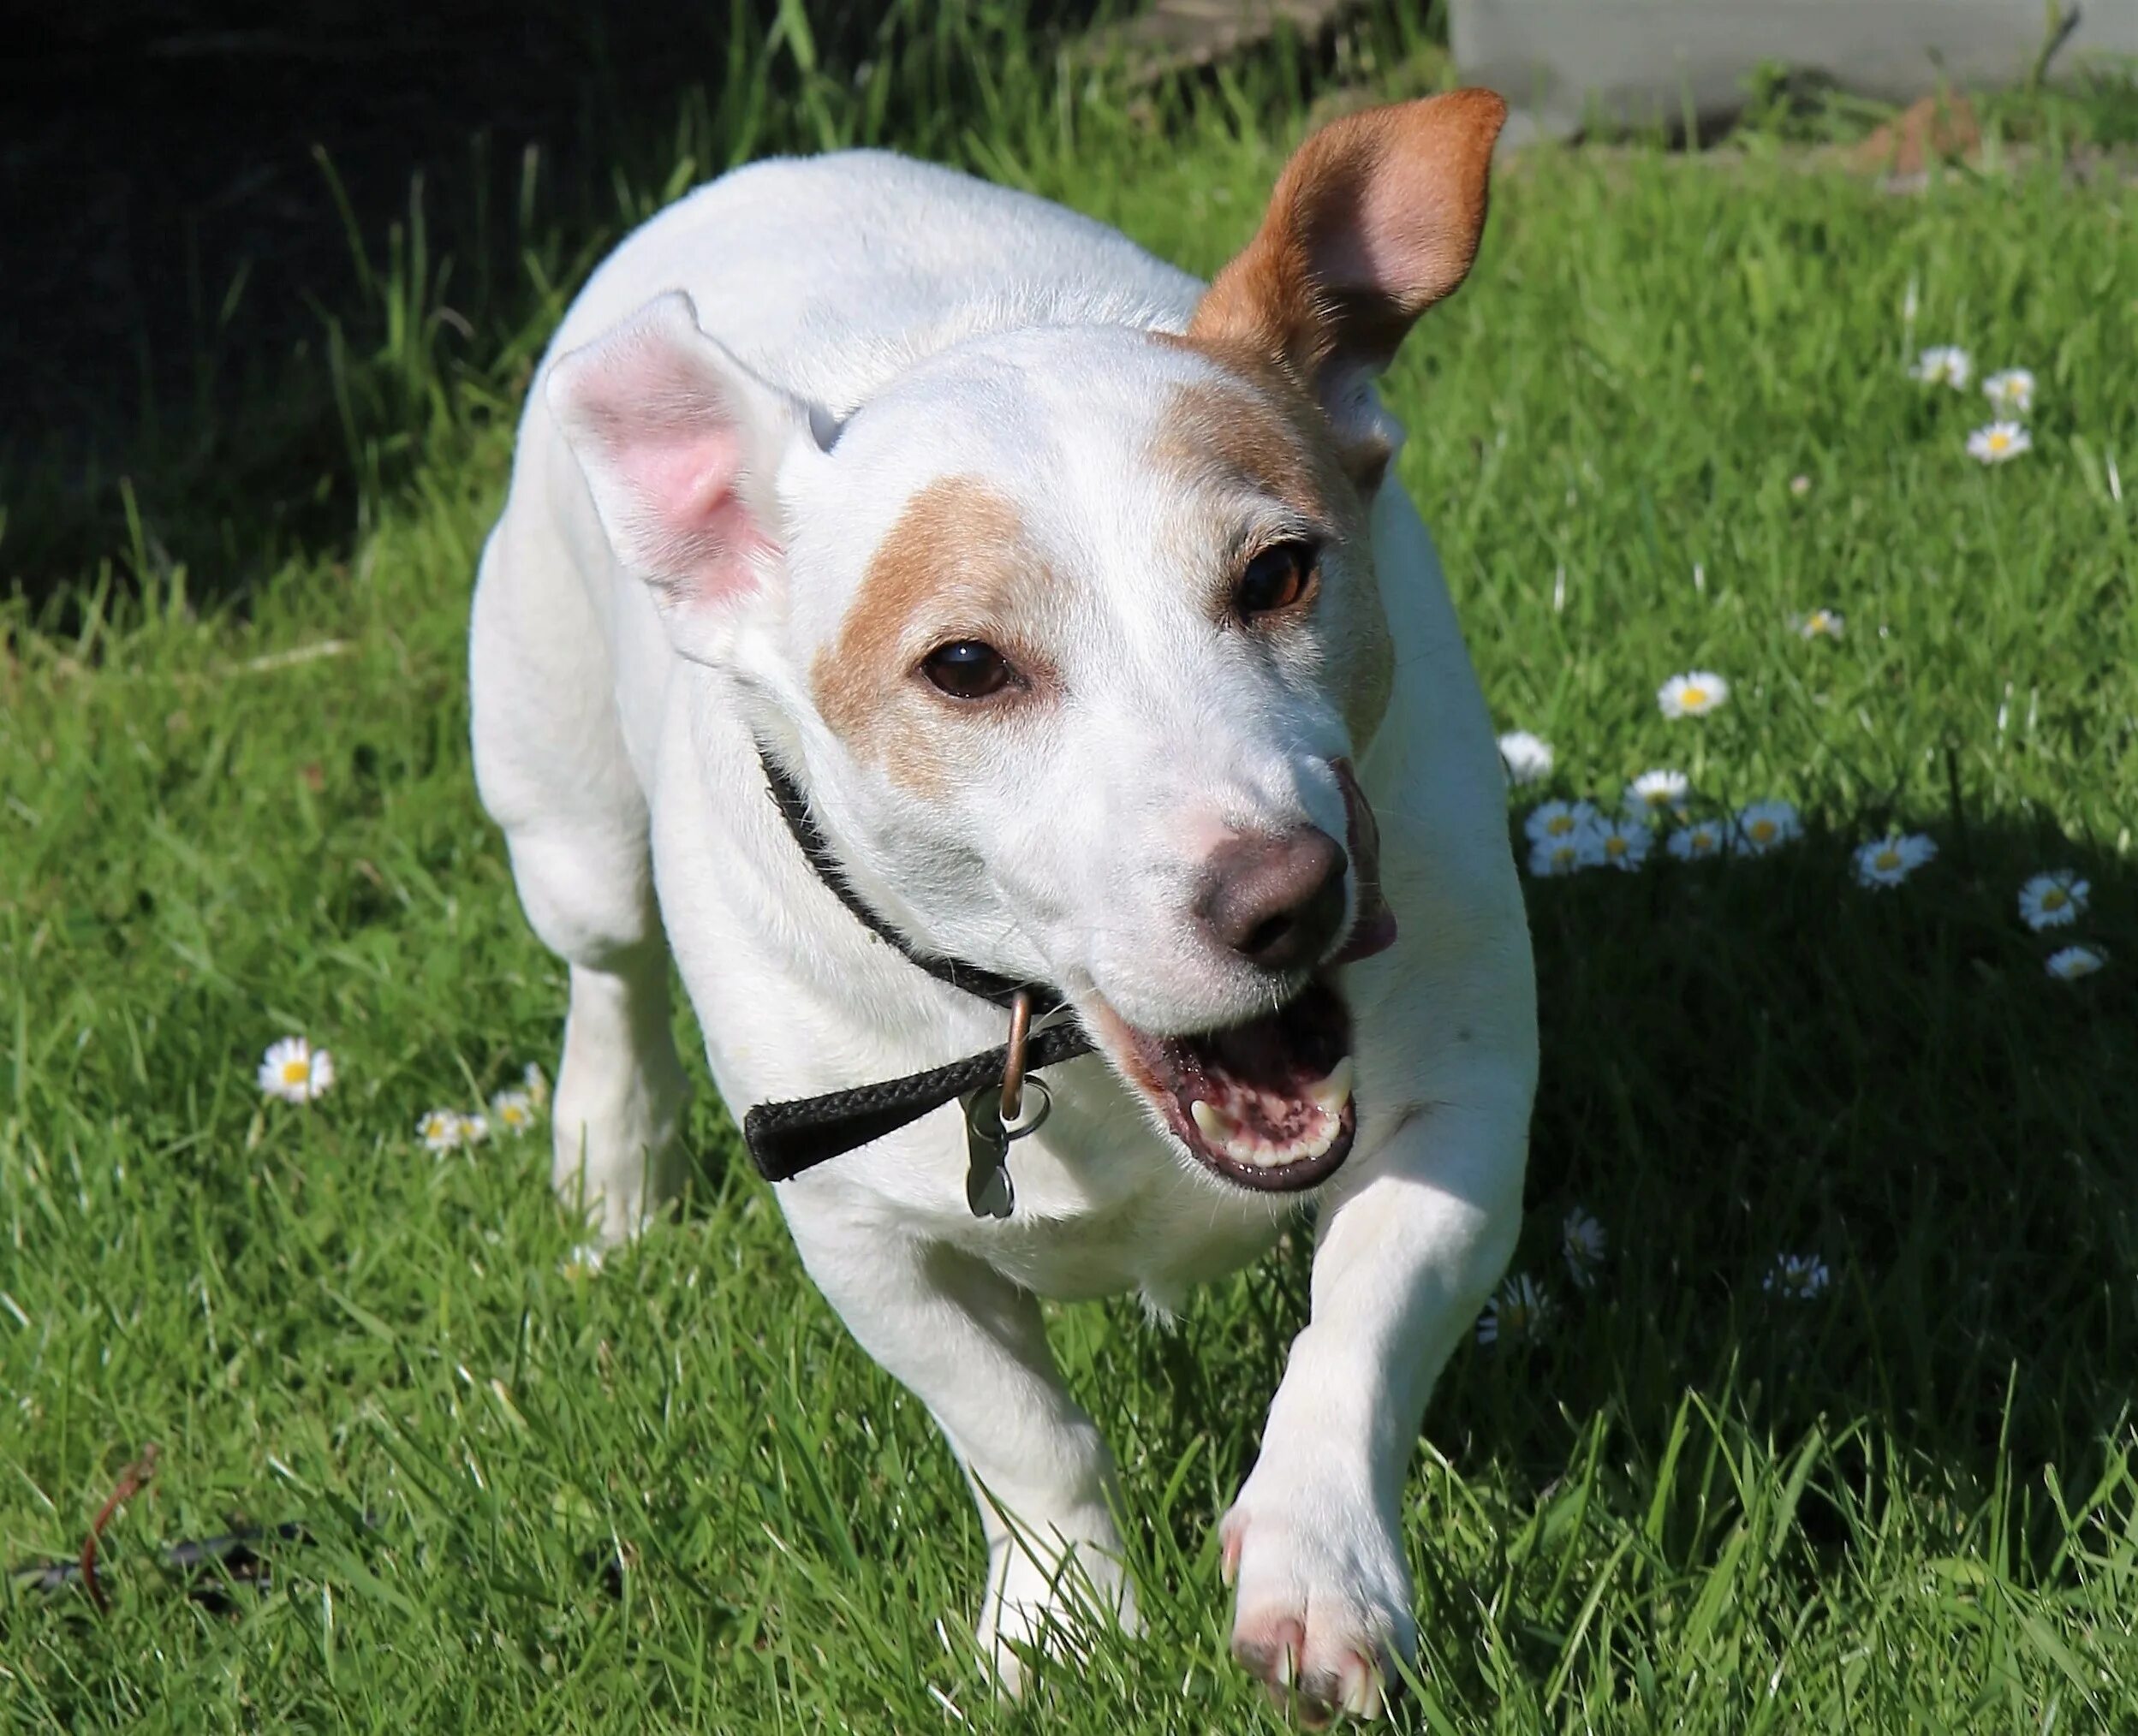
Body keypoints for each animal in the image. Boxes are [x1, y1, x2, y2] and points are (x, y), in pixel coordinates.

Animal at [470, 91, 1539, 1719]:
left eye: (1281, 573)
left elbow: (1357, 1331)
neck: (1056, 1041)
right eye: (966, 667)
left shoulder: (1460, 1105)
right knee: (605, 967)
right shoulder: (863, 1230)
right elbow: (1021, 1434)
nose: (1286, 898)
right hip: (563, 807)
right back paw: (611, 1159)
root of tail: (769, 167)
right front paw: (1063, 1625)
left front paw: (1317, 1572)